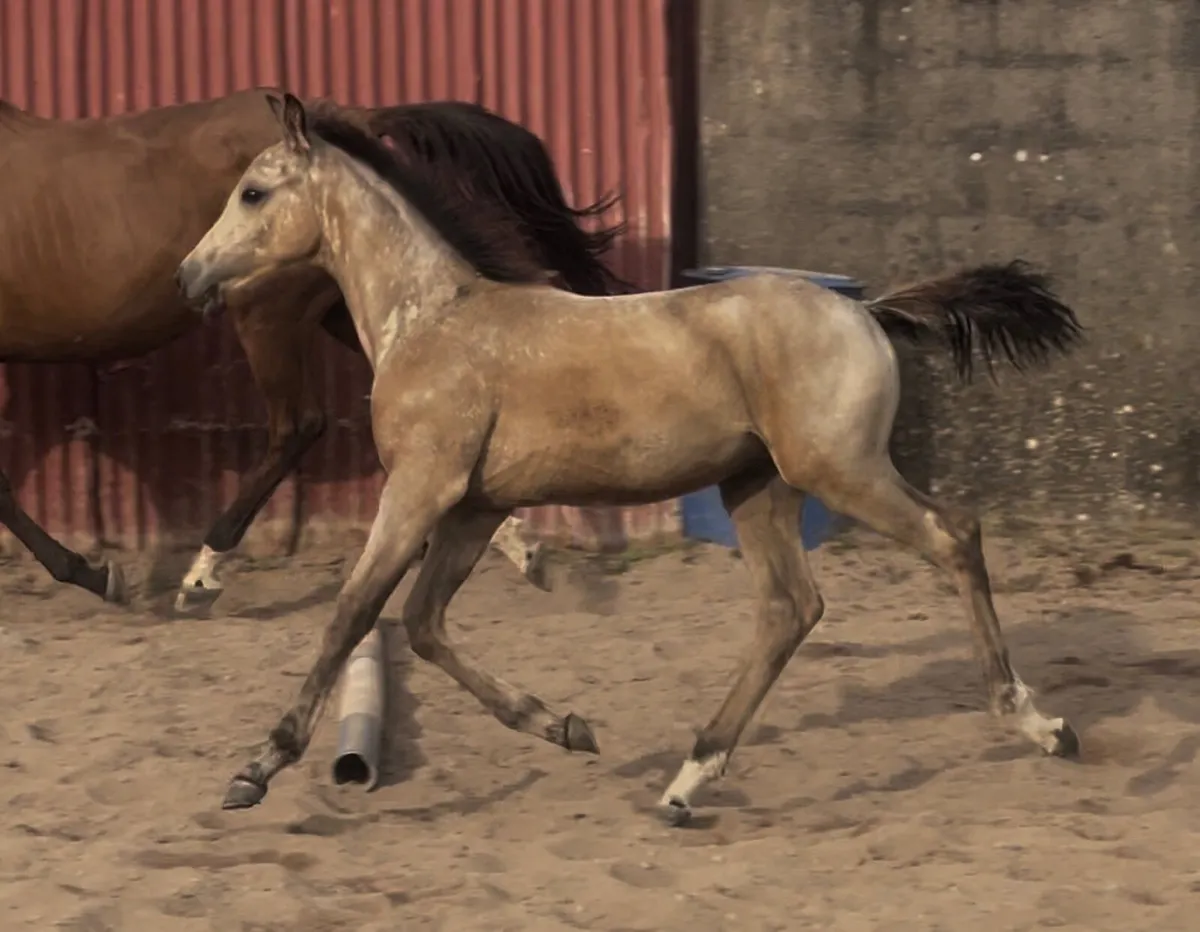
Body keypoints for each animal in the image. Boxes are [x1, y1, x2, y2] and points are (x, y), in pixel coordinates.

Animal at [0, 87, 632, 610]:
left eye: (253, 194)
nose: (185, 277)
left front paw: (92, 573)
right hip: (344, 308)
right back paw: (521, 546)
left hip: (269, 310)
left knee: (298, 424)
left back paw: (202, 575)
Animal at [177, 93, 1084, 823]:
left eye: (253, 191)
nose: (190, 274)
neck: (432, 318)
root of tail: (868, 312)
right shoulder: (475, 508)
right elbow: (425, 626)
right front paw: (566, 726)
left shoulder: (421, 491)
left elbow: (352, 615)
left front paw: (255, 769)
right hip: (757, 487)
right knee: (791, 608)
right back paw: (688, 779)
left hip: (840, 470)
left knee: (952, 536)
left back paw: (1040, 725)